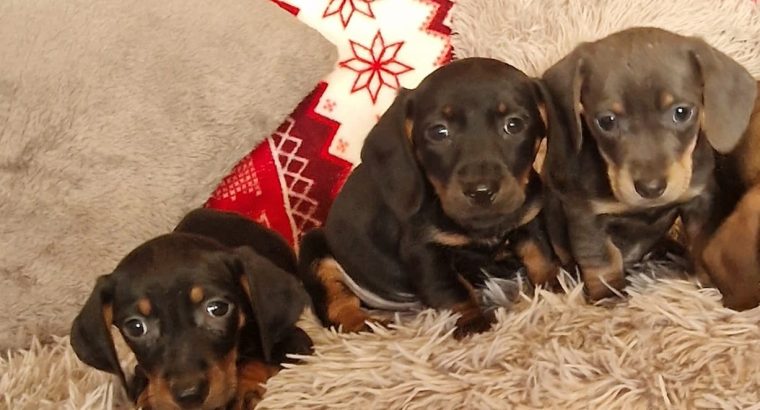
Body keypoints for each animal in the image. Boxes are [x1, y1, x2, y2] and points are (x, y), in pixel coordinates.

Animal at [69, 210, 312, 408]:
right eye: (136, 327)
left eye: (218, 309)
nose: (189, 395)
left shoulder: (296, 343)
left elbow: (256, 360)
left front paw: (244, 387)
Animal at [298, 57, 560, 340]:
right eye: (439, 132)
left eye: (514, 124)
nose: (481, 191)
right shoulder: (424, 250)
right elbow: (452, 290)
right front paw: (473, 322)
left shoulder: (530, 219)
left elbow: (542, 257)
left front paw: (559, 291)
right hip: (314, 248)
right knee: (337, 309)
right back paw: (368, 324)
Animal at [540, 27, 756, 300]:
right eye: (606, 121)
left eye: (682, 112)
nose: (651, 188)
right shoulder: (586, 216)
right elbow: (602, 262)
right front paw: (609, 297)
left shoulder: (700, 201)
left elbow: (701, 242)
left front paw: (706, 284)